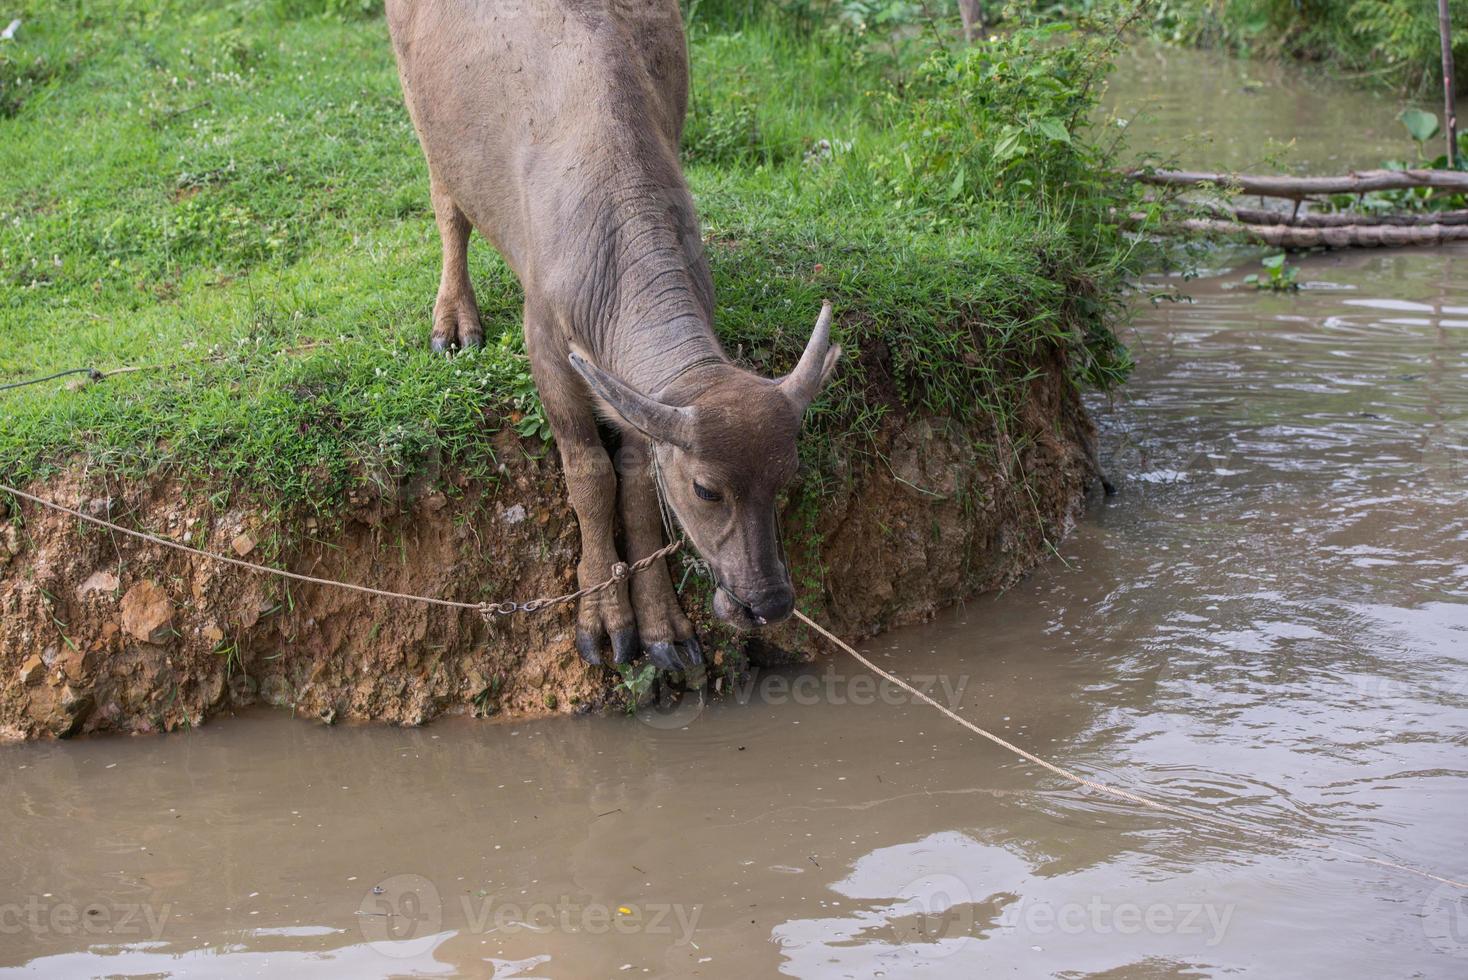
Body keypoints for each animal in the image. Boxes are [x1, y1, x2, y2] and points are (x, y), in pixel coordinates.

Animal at [387, 0, 839, 668]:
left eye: (788, 476)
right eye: (707, 491)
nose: (770, 603)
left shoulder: (635, 398)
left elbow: (638, 487)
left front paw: (661, 627)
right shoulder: (550, 354)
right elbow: (591, 478)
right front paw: (602, 615)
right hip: (424, 122)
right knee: (449, 207)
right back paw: (455, 319)